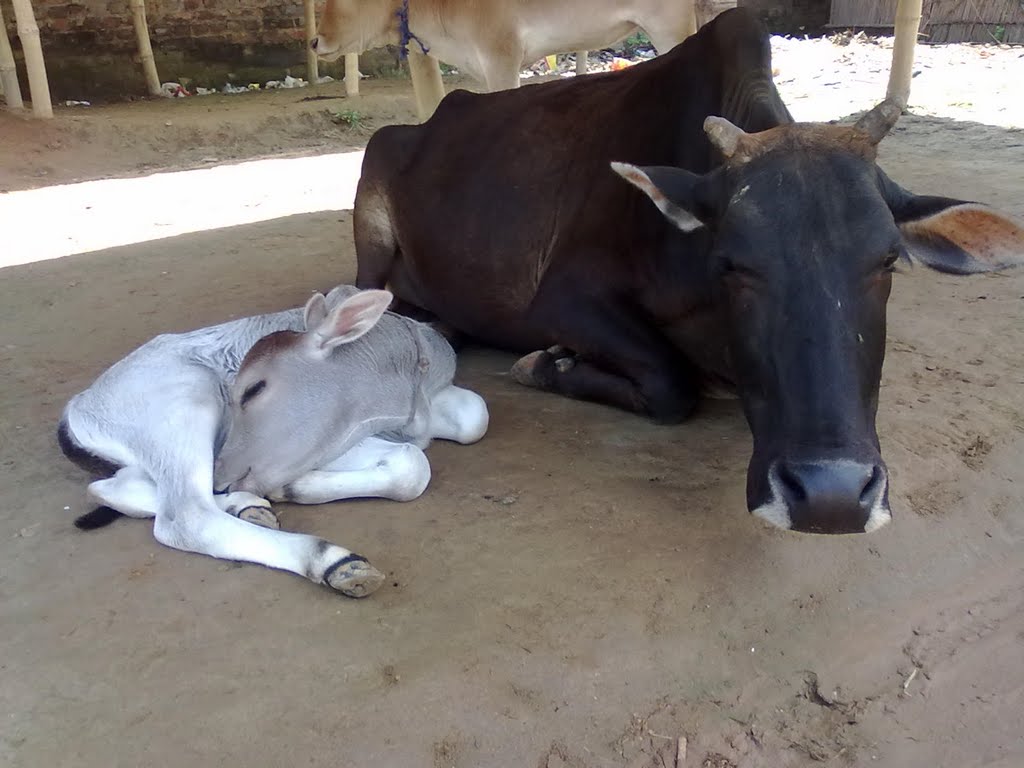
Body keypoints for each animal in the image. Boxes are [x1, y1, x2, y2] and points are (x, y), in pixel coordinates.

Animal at [348, 12, 1019, 536]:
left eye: (887, 260)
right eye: (732, 264)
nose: (831, 496)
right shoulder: (562, 298)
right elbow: (672, 385)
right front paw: (546, 364)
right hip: (370, 221)